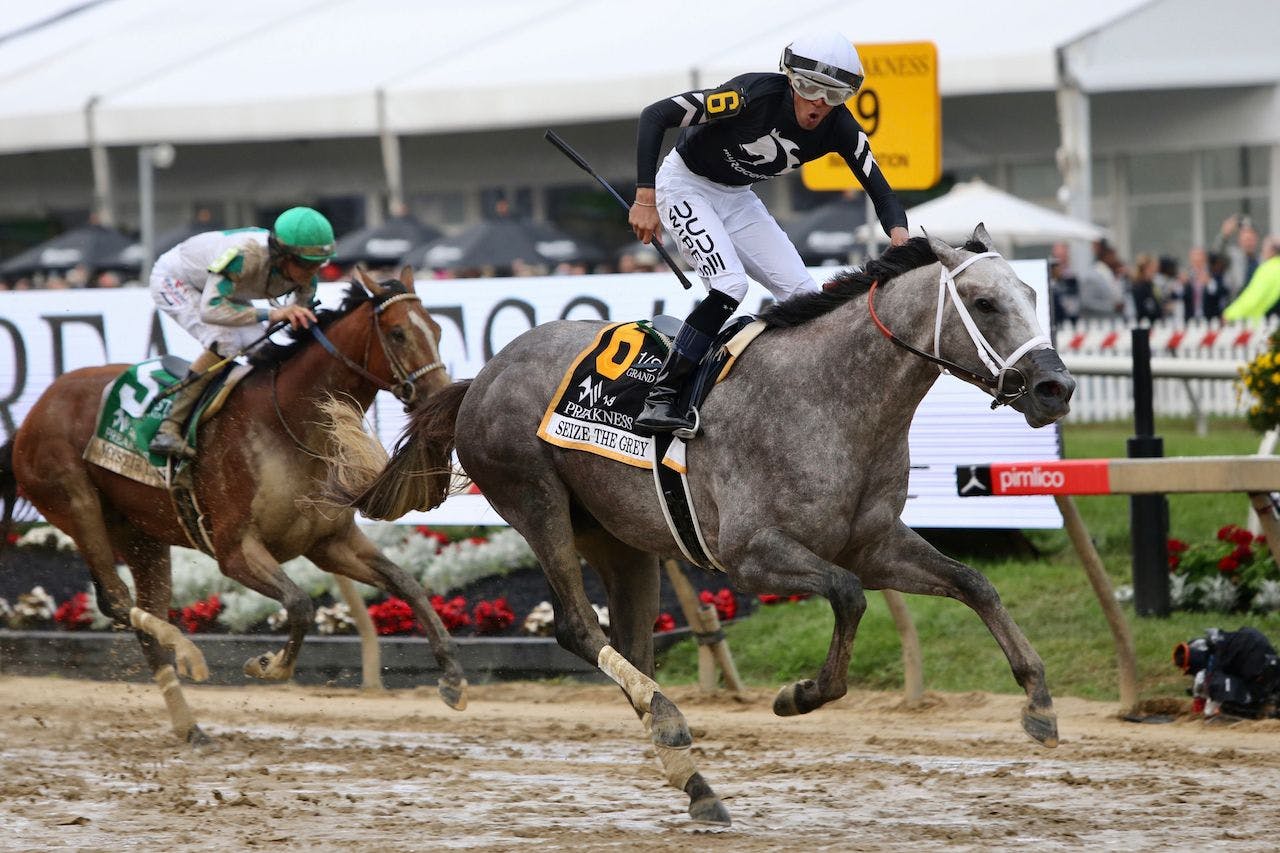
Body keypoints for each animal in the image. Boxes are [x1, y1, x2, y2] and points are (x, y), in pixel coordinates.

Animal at [0, 267, 471, 742]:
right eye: (397, 333)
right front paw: (268, 665)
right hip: (76, 504)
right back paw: (190, 654)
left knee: (144, 614)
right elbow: (300, 604)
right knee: (115, 600)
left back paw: (190, 725)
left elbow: (406, 584)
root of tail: (32, 415)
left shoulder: (330, 541)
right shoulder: (235, 550)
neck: (287, 426)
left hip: (141, 535)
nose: (440, 397)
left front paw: (453, 679)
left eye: (437, 330)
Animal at [325, 227, 1075, 824]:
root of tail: (482, 375)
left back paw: (693, 780)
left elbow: (974, 582)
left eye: (1032, 295)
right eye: (985, 303)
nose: (1055, 387)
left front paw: (1039, 701)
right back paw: (677, 735)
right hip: (535, 500)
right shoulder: (751, 555)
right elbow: (848, 596)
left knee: (632, 643)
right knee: (579, 627)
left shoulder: (874, 542)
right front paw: (799, 694)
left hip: (619, 539)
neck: (830, 397)